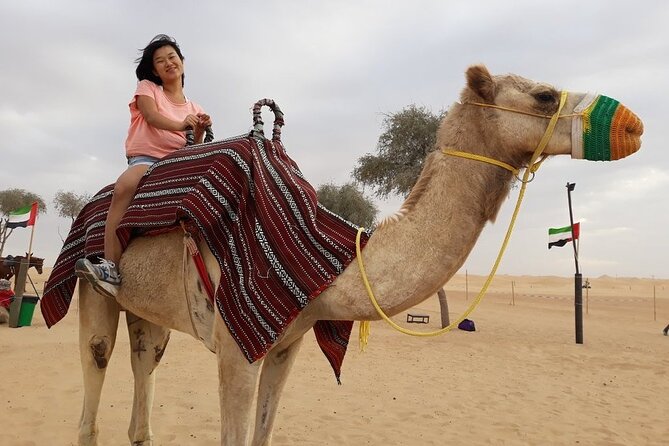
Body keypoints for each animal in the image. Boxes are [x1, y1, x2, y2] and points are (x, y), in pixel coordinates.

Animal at [48, 64, 642, 445]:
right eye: (544, 95)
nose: (633, 125)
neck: (333, 263)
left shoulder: (286, 344)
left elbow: (264, 434)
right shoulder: (237, 344)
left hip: (150, 313)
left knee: (142, 381)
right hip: (94, 292)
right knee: (93, 385)